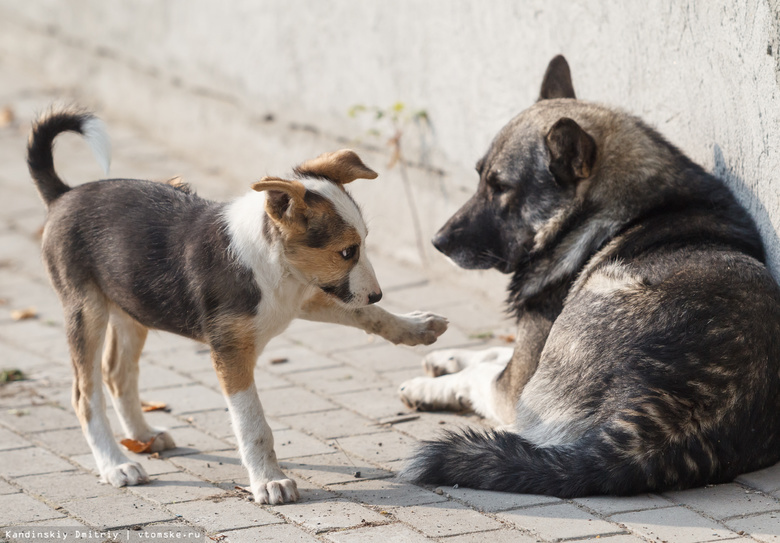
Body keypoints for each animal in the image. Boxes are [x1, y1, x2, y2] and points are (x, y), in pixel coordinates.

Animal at [27, 107, 448, 506]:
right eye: (347, 251)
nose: (377, 293)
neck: (274, 265)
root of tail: (63, 194)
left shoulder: (302, 297)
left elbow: (364, 314)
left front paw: (416, 326)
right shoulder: (231, 352)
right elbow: (253, 424)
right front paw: (269, 481)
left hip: (132, 304)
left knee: (117, 373)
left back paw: (144, 436)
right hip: (86, 311)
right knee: (85, 395)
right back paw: (116, 464)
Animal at [400, 55, 780, 498]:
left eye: (500, 187)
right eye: (479, 176)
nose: (438, 241)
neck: (600, 209)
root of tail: (665, 426)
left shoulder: (516, 383)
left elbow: (485, 371)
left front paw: (430, 385)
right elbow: (491, 352)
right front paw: (444, 358)